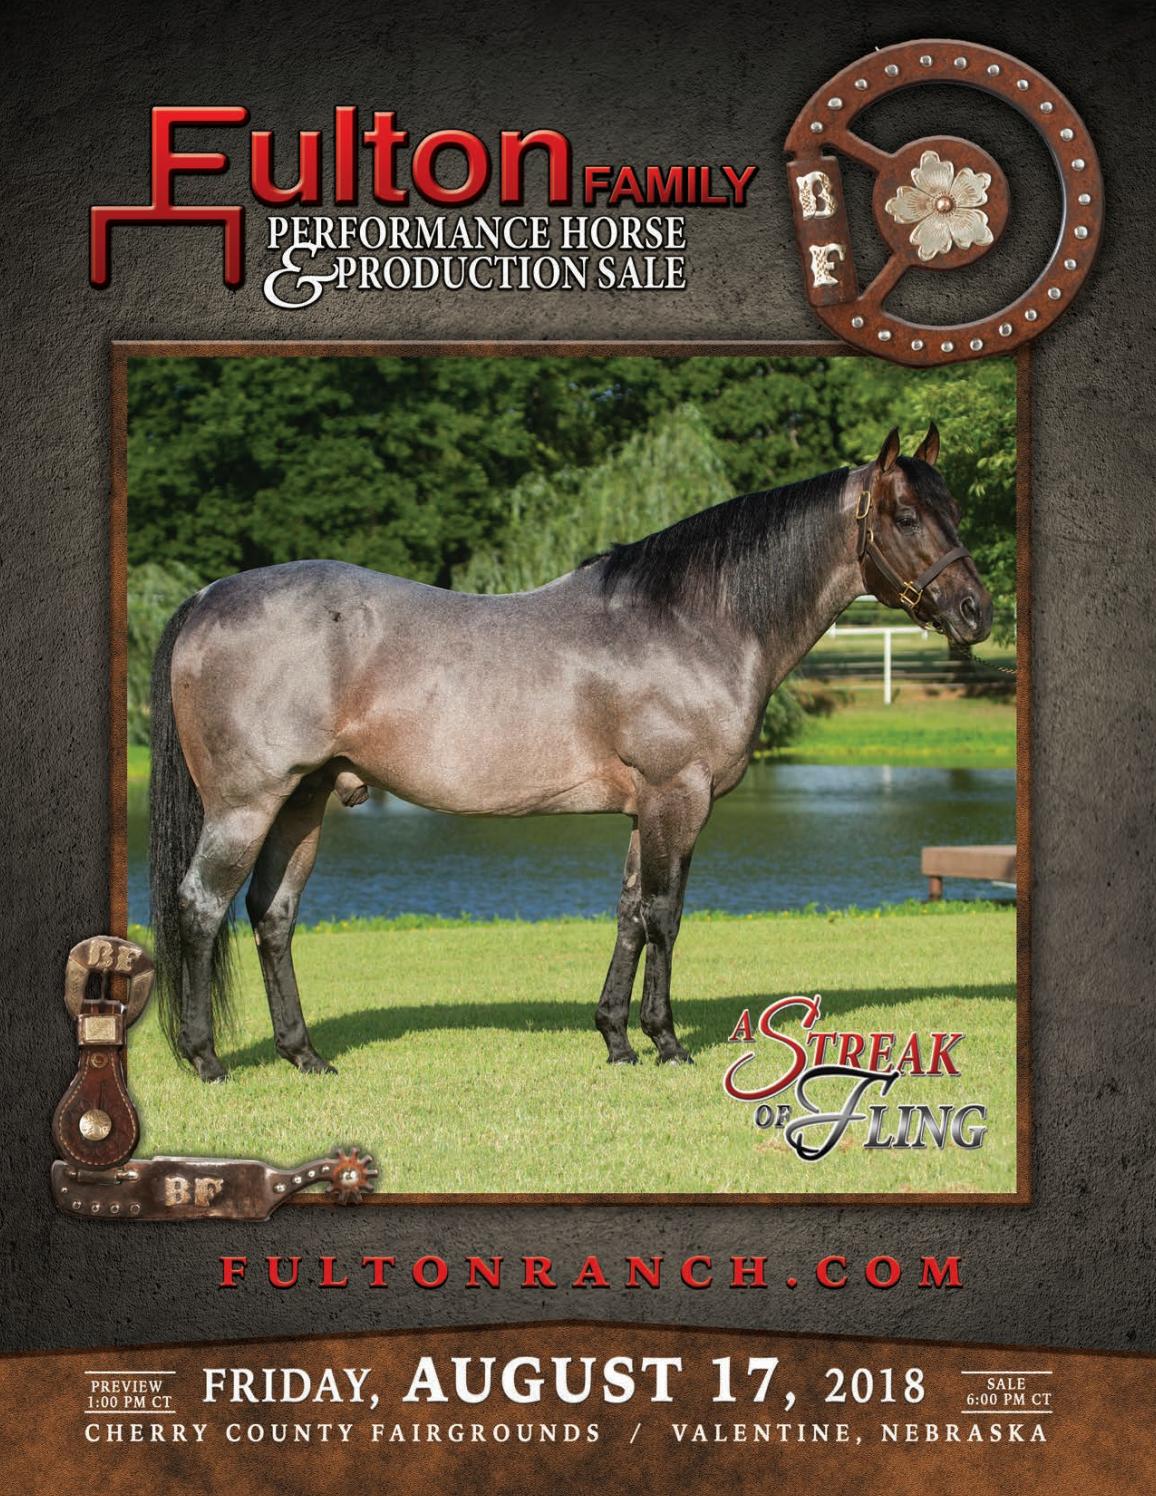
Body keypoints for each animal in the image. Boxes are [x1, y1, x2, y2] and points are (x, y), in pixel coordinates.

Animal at [148, 423, 992, 1081]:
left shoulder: (645, 810)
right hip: (246, 804)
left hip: (303, 801)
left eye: (956, 510)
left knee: (272, 913)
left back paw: (304, 1055)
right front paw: (666, 1042)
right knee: (200, 905)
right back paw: (205, 1058)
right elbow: (665, 915)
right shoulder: (678, 797)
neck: (690, 620)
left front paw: (616, 1039)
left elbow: (627, 915)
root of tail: (206, 598)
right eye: (908, 515)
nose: (976, 612)